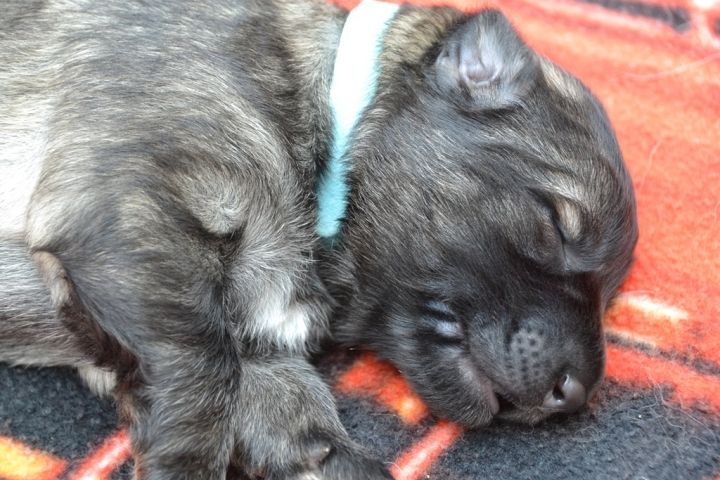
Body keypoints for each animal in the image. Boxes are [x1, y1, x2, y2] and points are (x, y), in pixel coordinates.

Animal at [0, 0, 638, 478]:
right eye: (557, 222)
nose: (577, 393)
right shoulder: (133, 208)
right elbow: (199, 374)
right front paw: (185, 461)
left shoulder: (256, 347)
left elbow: (288, 414)